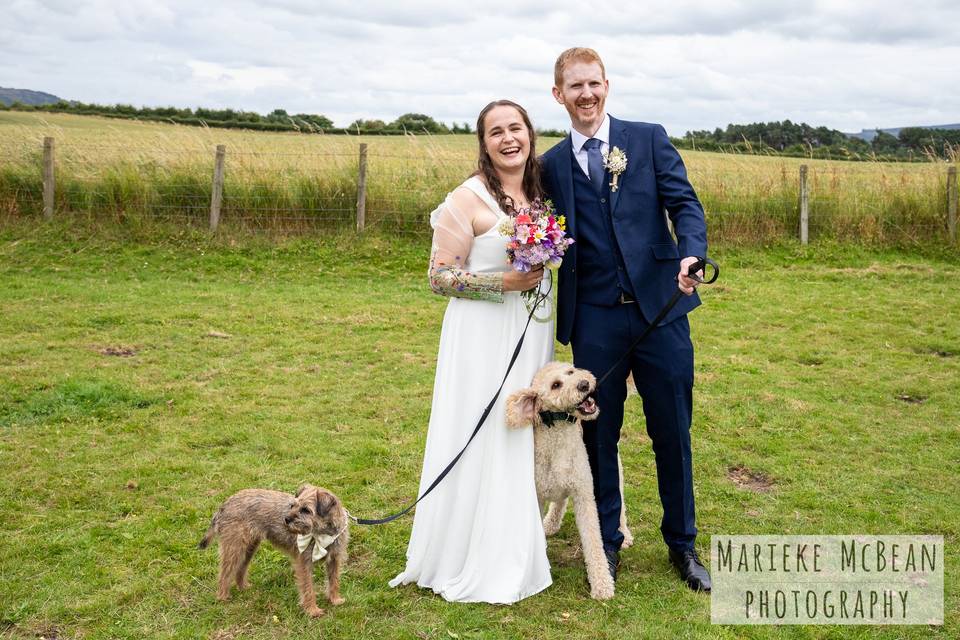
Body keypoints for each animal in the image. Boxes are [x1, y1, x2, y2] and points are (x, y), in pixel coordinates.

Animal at [199, 484, 348, 616]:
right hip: (234, 548)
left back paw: (243, 588)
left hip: (249, 548)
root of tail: (225, 504)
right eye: (292, 505)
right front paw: (312, 610)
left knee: (240, 569)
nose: (286, 519)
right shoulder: (304, 563)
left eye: (306, 510)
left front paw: (335, 600)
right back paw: (223, 597)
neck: (323, 535)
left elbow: (334, 581)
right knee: (224, 574)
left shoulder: (334, 560)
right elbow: (308, 588)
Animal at [506, 362, 632, 604]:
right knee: (559, 501)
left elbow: (594, 542)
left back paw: (625, 533)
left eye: (571, 372)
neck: (559, 436)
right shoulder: (538, 493)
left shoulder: (585, 495)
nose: (584, 384)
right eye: (556, 385)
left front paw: (602, 584)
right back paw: (551, 524)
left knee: (619, 500)